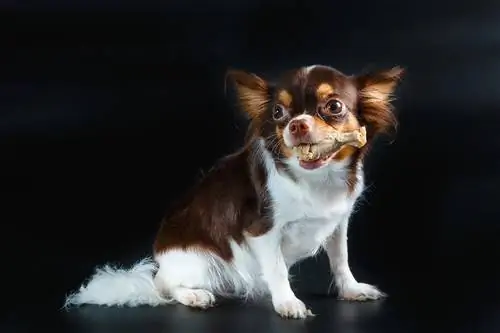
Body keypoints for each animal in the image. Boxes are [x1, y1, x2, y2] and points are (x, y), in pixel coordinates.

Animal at [65, 63, 402, 318]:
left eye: (333, 107)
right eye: (278, 113)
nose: (297, 125)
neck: (316, 178)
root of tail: (160, 261)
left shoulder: (337, 224)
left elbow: (340, 260)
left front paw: (351, 290)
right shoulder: (261, 231)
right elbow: (277, 269)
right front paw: (287, 302)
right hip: (198, 263)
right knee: (166, 286)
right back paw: (194, 296)